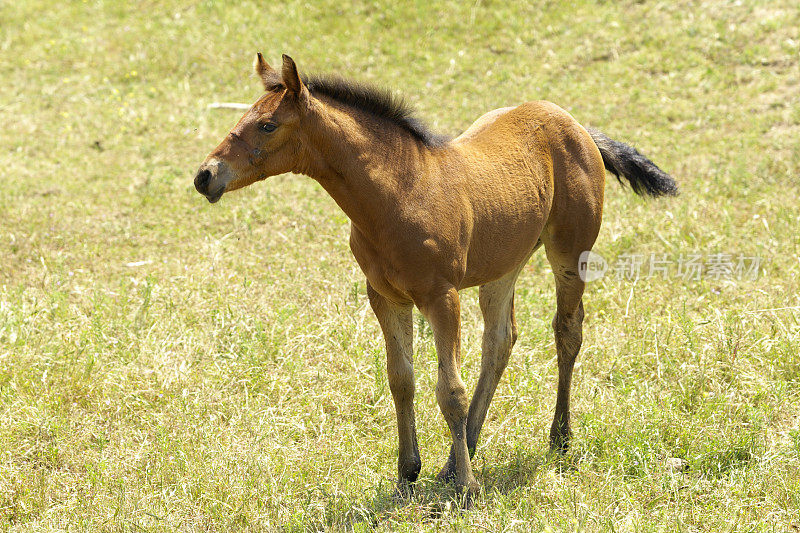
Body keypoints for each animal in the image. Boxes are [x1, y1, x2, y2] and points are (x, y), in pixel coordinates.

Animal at [194, 54, 676, 498]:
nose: (205, 175)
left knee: (567, 331)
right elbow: (401, 380)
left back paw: (557, 438)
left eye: (267, 125)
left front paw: (466, 487)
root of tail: (576, 125)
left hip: (570, 252)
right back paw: (463, 452)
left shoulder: (442, 297)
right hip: (504, 264)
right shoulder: (384, 296)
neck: (398, 194)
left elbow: (450, 392)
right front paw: (409, 472)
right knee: (500, 341)